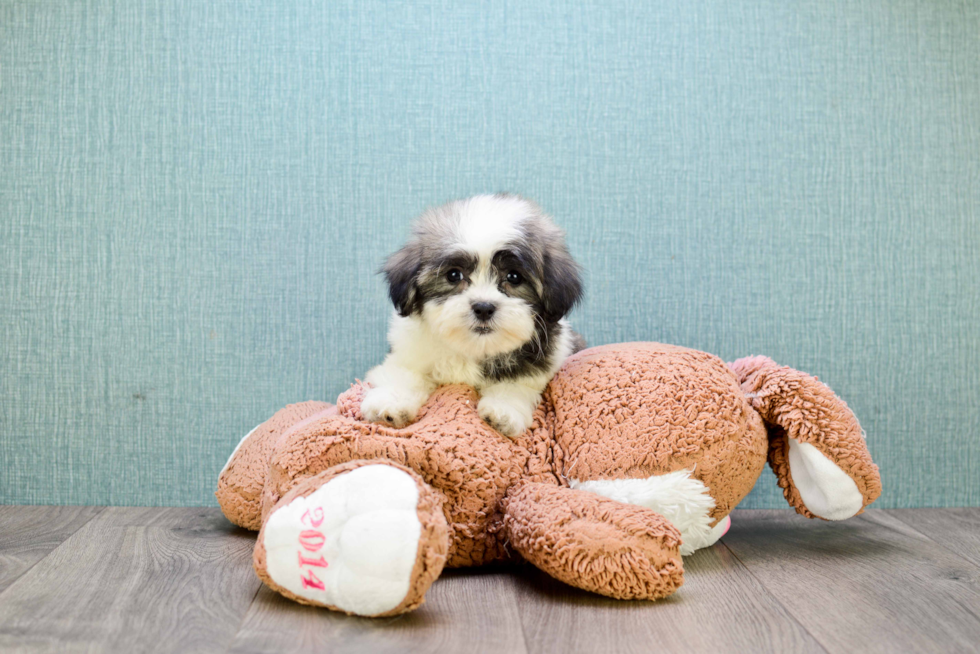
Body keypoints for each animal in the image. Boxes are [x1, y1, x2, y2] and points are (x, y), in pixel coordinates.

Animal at [364, 195, 584, 440]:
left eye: (514, 277)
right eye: (453, 275)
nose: (484, 307)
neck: (472, 348)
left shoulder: (541, 364)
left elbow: (517, 385)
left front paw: (503, 411)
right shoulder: (409, 352)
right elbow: (404, 373)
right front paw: (390, 402)